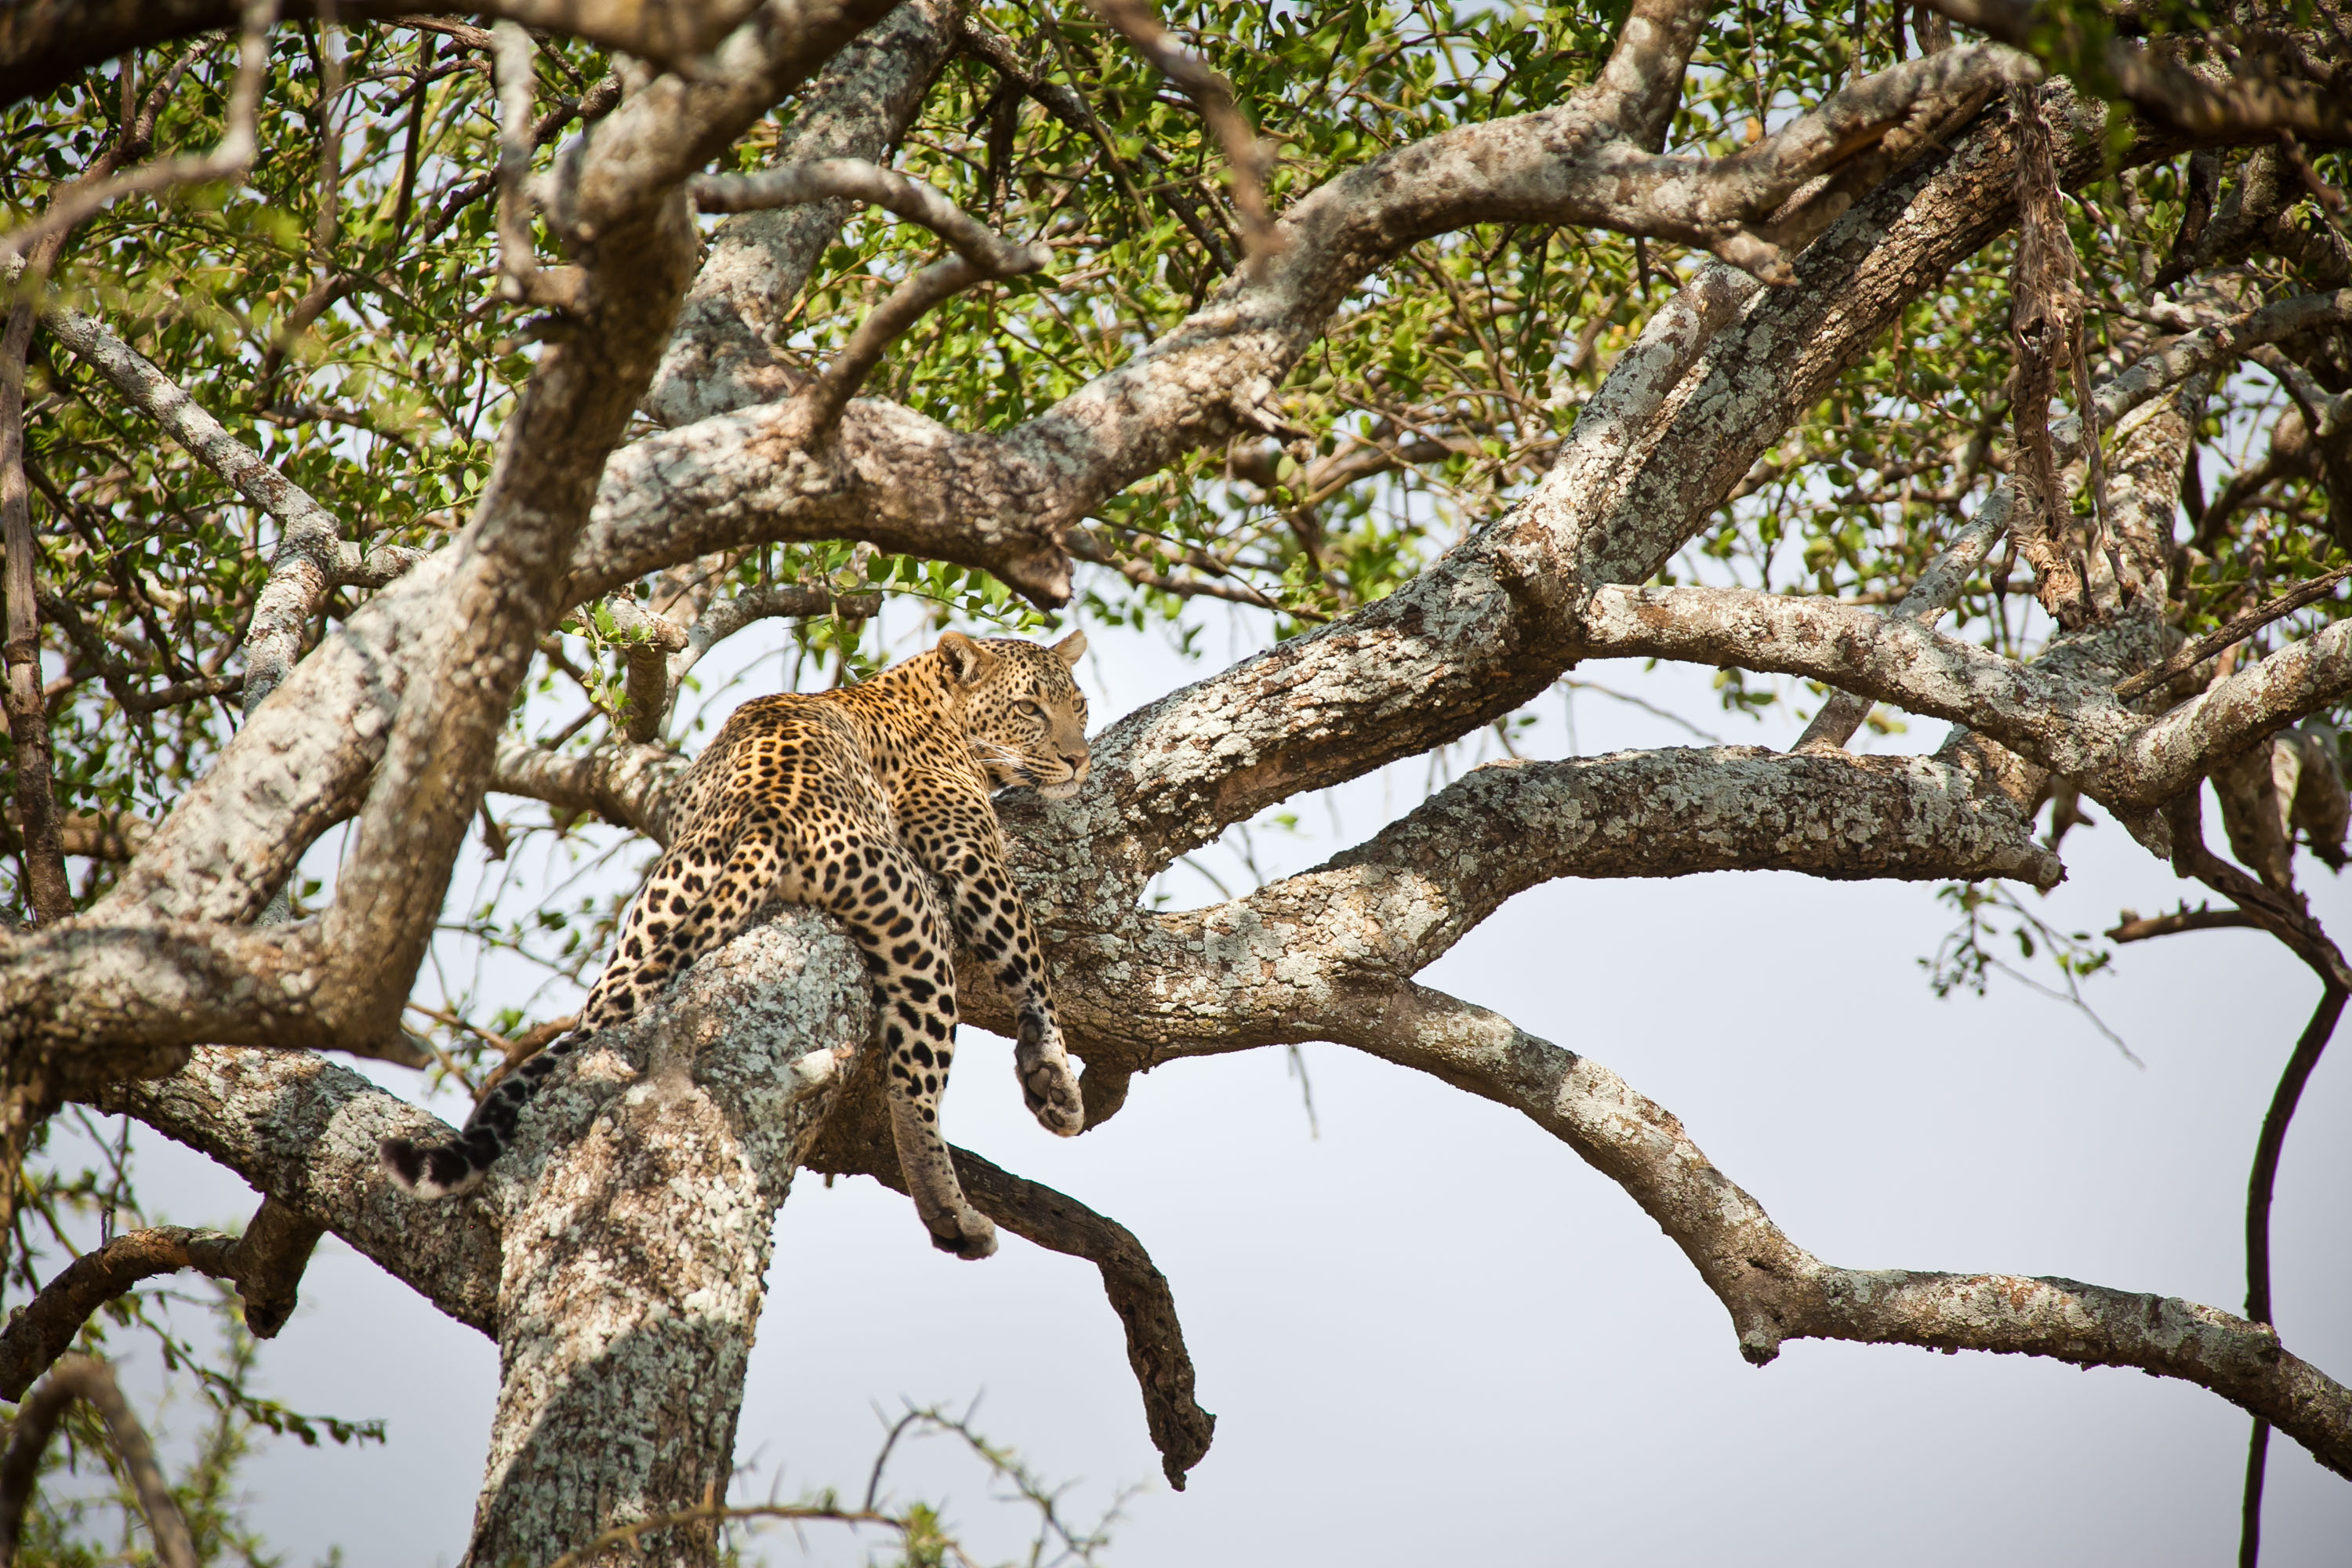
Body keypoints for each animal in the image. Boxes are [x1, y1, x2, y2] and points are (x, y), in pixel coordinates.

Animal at [381, 629, 1093, 1260]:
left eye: (1079, 707)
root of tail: (767, 813)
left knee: (595, 1023)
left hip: (652, 921)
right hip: (914, 920)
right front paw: (1054, 1076)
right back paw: (952, 1215)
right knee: (914, 1085)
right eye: (1030, 708)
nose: (1080, 760)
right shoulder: (971, 856)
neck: (923, 695)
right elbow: (1030, 960)